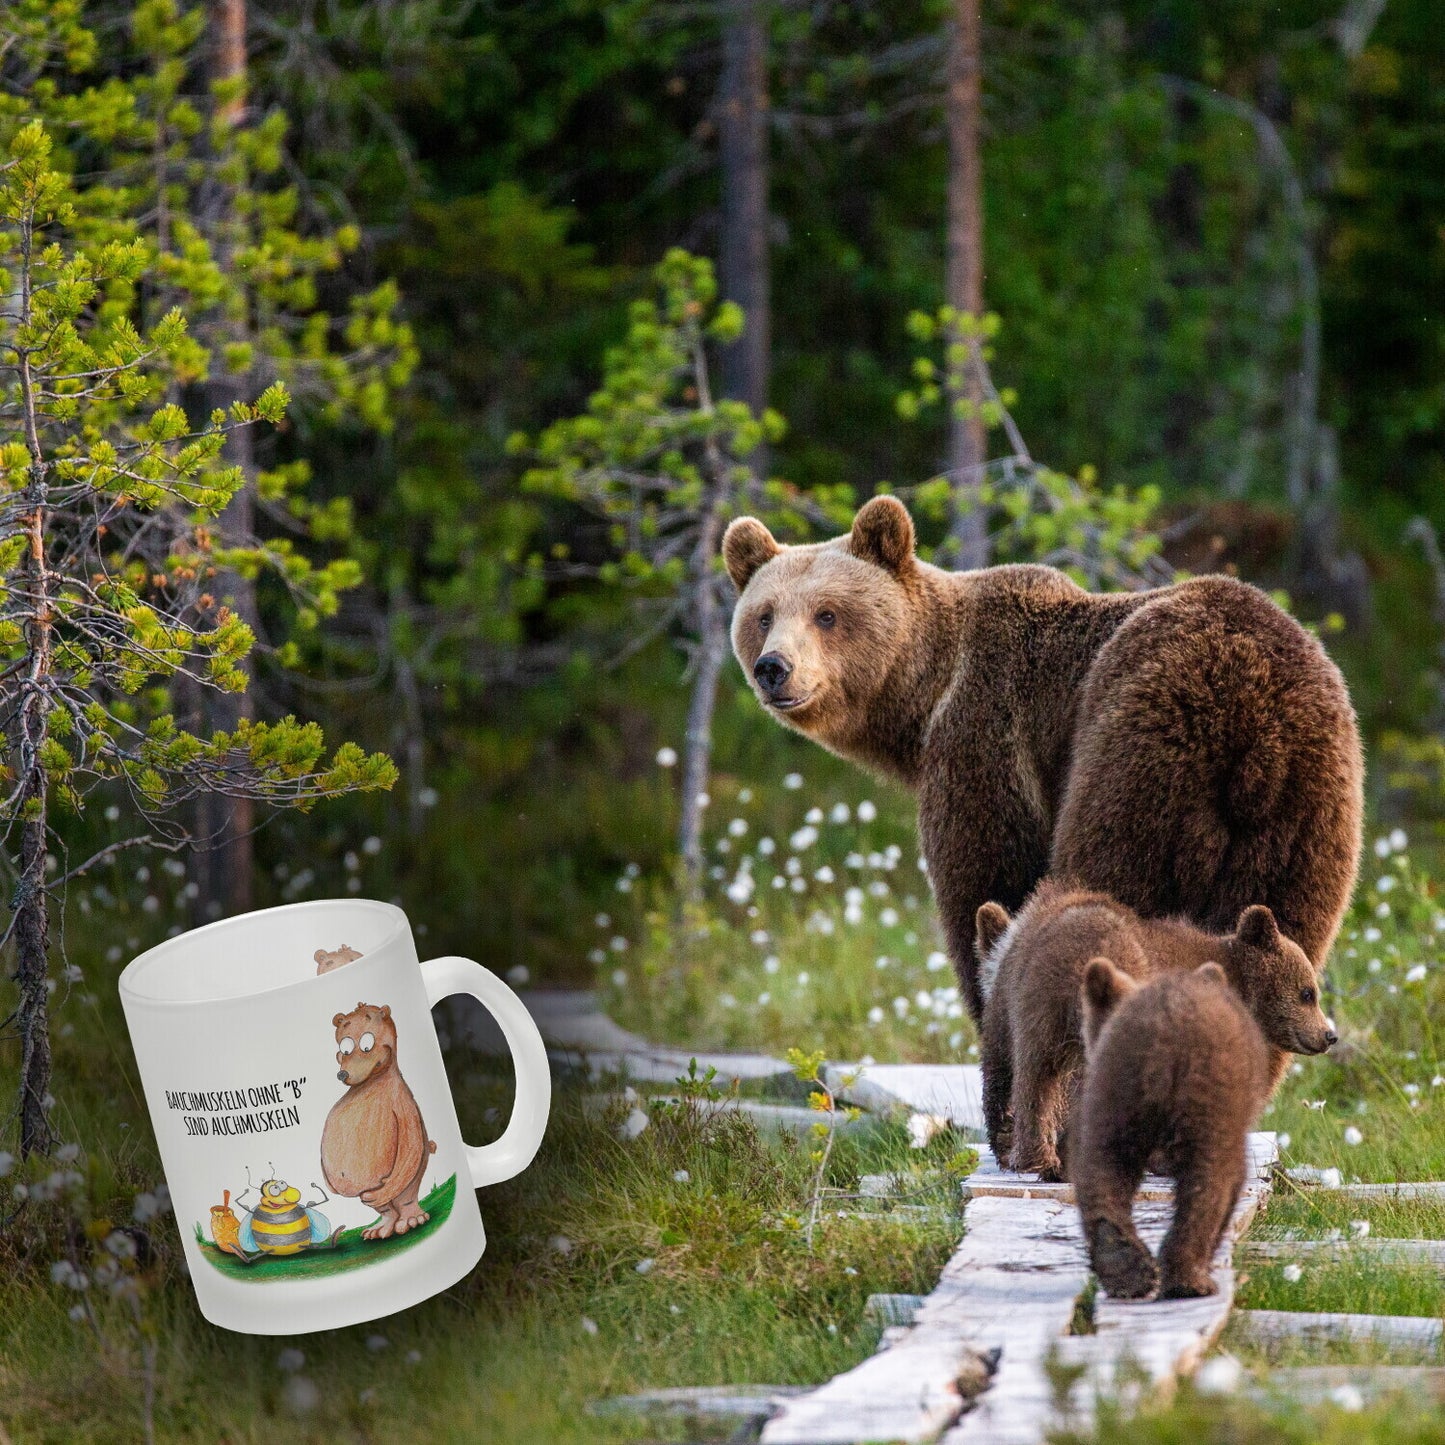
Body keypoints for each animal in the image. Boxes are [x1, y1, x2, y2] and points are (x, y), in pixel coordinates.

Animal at [728, 499, 1358, 1028]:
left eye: (827, 614)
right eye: (764, 614)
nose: (774, 668)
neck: (925, 698)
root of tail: (1256, 722)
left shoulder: (988, 735)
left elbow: (988, 880)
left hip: (1145, 755)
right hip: (1307, 813)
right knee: (1284, 933)